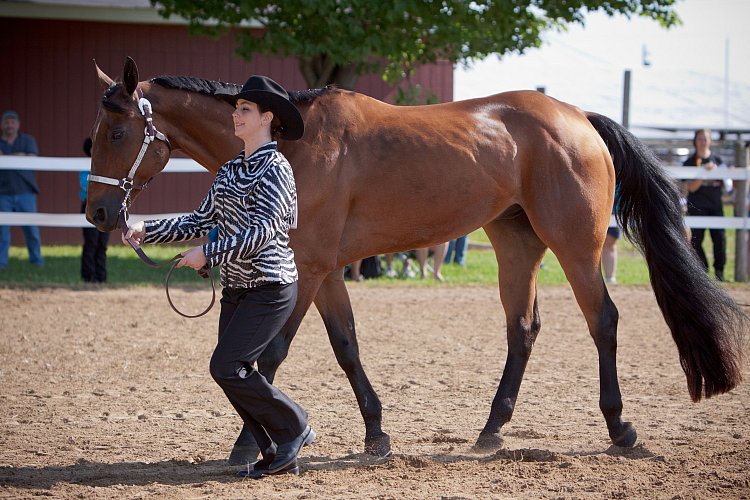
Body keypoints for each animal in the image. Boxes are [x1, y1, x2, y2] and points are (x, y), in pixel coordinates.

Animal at [88, 56, 748, 462]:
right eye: (93, 134)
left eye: (117, 133)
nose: (99, 213)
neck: (291, 144)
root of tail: (578, 118)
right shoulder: (326, 271)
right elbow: (347, 347)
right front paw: (376, 434)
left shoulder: (307, 269)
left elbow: (268, 356)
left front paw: (251, 446)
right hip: (515, 243)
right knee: (523, 328)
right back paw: (490, 432)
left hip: (576, 244)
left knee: (602, 320)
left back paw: (619, 428)